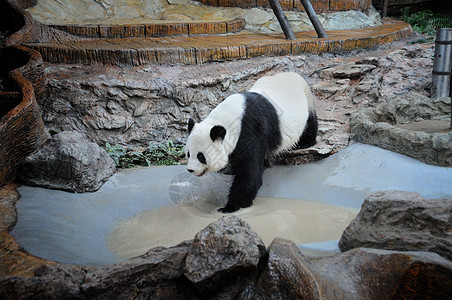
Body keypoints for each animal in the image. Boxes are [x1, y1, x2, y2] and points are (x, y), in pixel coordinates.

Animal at [185, 72, 316, 213]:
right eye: (188, 154)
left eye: (201, 156)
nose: (190, 170)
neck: (228, 119)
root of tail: (292, 73)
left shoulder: (251, 130)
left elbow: (249, 174)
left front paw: (229, 207)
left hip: (306, 98)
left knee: (310, 122)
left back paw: (305, 143)